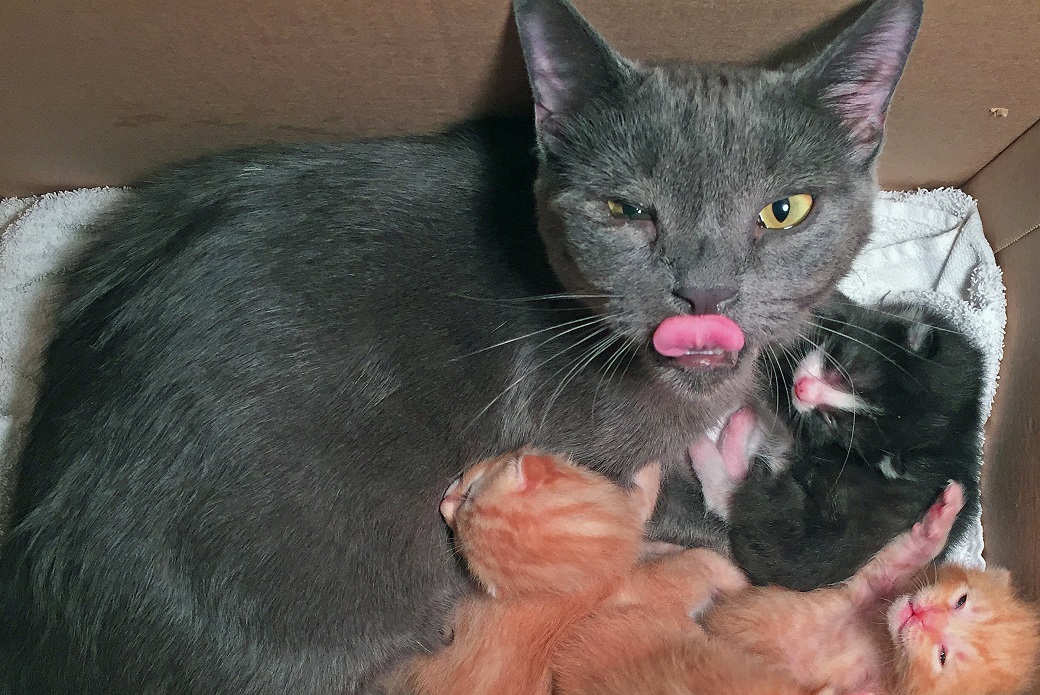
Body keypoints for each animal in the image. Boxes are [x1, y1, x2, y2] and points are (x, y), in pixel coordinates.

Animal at [690, 299, 981, 590]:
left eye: (831, 420)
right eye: (843, 368)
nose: (802, 388)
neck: (950, 434)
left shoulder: (800, 424)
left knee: (732, 496)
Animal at [698, 482, 1040, 695]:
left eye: (943, 657)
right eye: (961, 600)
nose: (922, 615)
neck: (881, 646)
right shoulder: (876, 587)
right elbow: (911, 551)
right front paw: (947, 509)